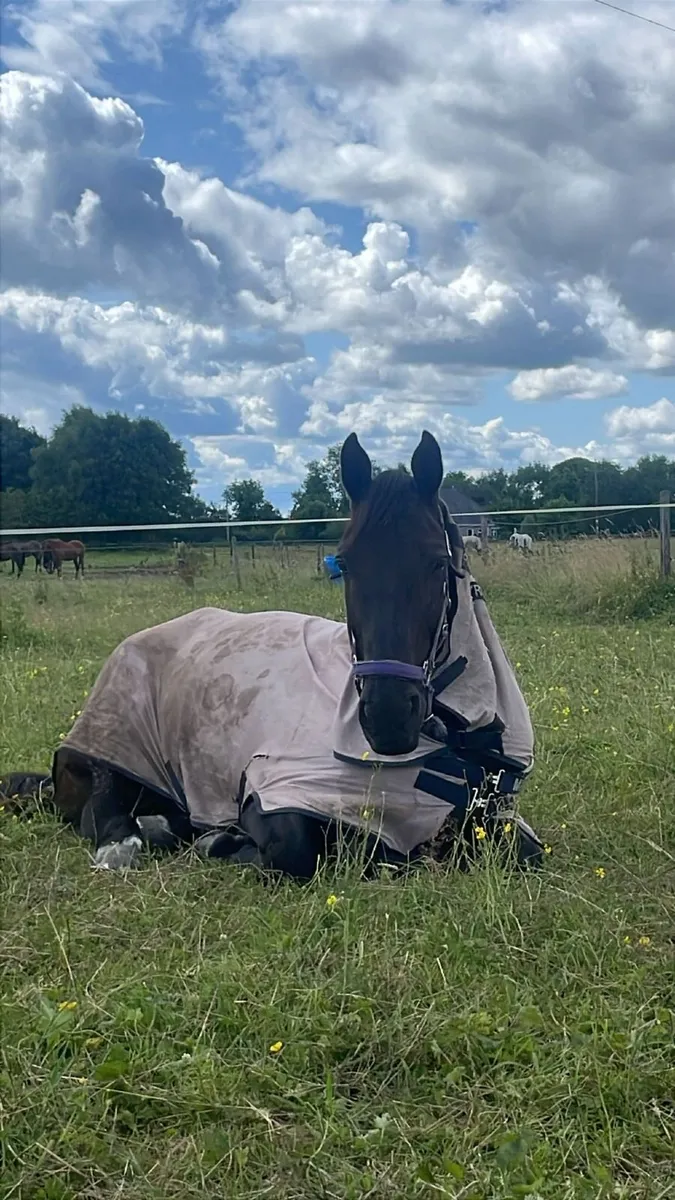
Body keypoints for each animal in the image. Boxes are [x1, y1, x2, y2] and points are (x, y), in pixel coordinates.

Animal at [1, 432, 544, 880]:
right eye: (346, 564)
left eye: (436, 562)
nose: (387, 718)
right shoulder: (275, 787)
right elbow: (296, 849)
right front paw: (225, 842)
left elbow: (527, 851)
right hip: (112, 749)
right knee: (105, 814)